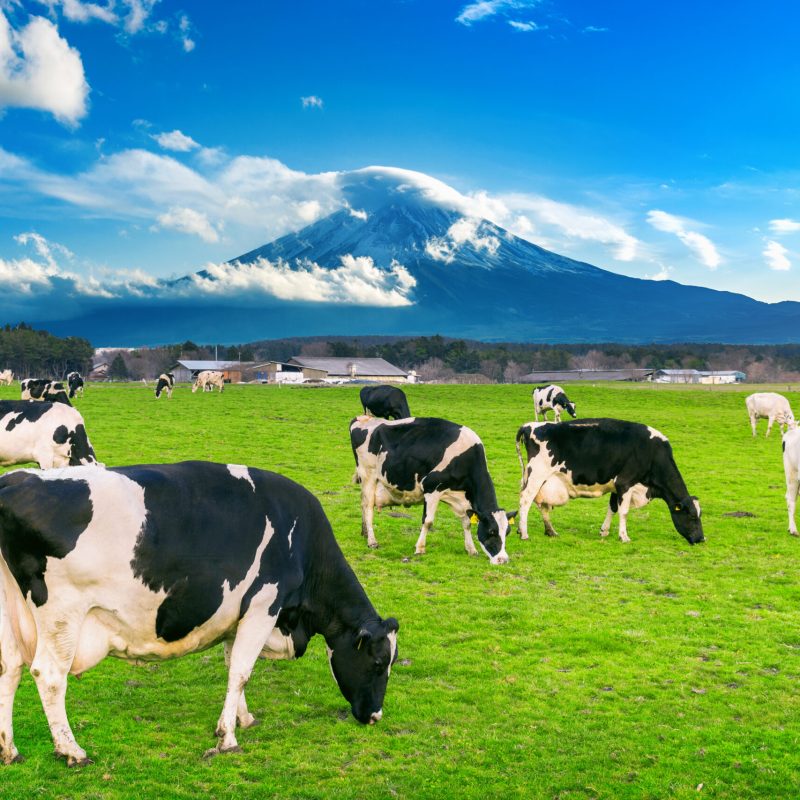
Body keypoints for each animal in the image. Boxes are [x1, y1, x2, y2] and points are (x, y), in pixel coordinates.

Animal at [0, 462, 400, 768]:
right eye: (379, 663)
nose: (375, 715)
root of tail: (15, 479)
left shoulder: (237, 617)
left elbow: (232, 666)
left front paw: (242, 718)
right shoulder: (262, 606)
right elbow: (241, 671)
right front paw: (228, 738)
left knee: (10, 669)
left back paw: (10, 751)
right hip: (62, 614)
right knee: (49, 675)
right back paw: (72, 751)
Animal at [352, 416, 516, 564]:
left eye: (507, 532)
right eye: (491, 532)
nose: (503, 560)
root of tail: (364, 419)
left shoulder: (461, 499)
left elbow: (466, 523)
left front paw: (471, 549)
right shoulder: (431, 489)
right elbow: (428, 521)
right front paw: (420, 548)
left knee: (362, 503)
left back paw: (364, 532)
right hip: (368, 474)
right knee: (368, 507)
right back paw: (372, 541)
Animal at [516, 418, 704, 544]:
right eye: (692, 516)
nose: (701, 538)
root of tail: (531, 425)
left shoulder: (617, 486)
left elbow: (612, 507)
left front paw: (604, 531)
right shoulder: (625, 483)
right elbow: (624, 511)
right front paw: (624, 536)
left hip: (541, 481)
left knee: (541, 505)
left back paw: (550, 531)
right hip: (536, 476)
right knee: (526, 500)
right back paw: (524, 533)